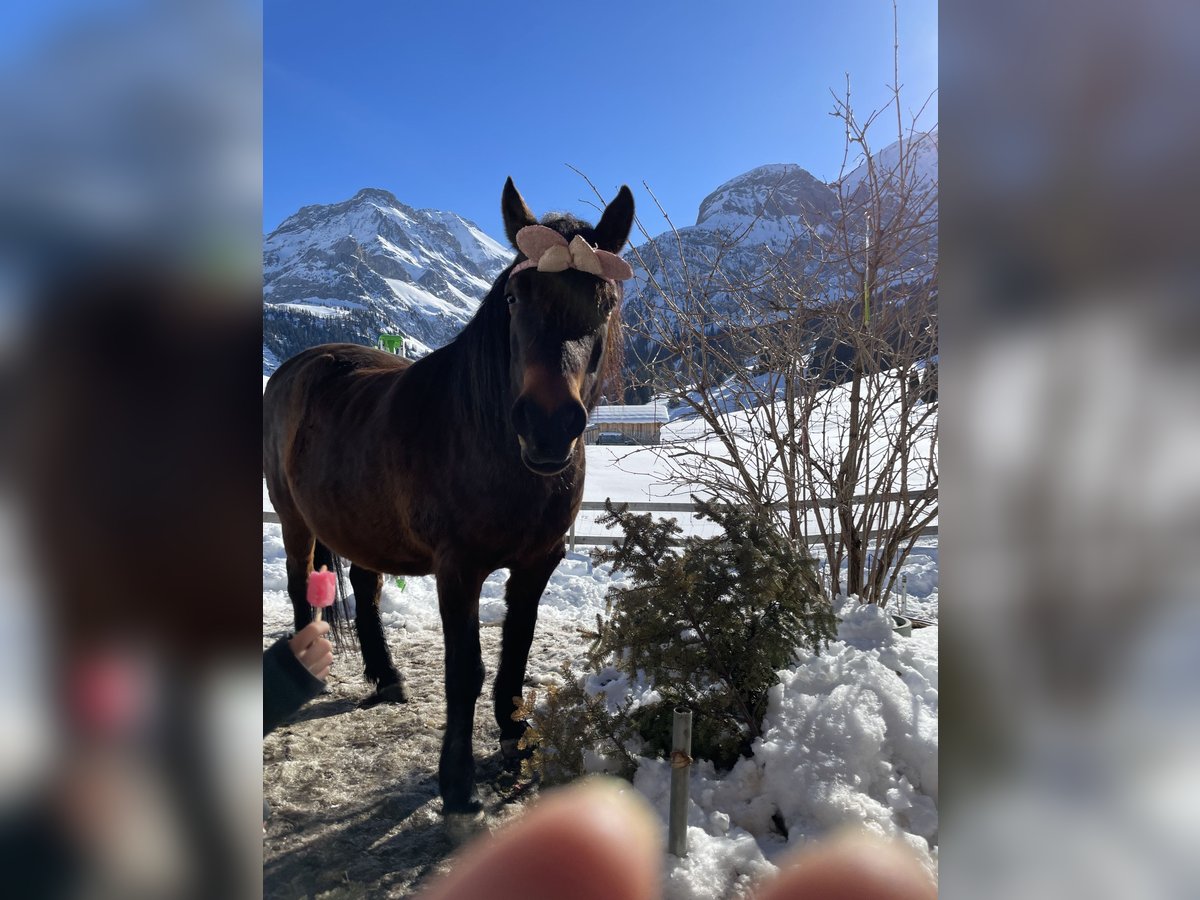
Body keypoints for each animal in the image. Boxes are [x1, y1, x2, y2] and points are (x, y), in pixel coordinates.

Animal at [264, 177, 638, 816]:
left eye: (607, 302)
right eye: (514, 297)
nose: (547, 426)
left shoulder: (538, 562)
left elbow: (517, 647)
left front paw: (515, 737)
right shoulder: (458, 569)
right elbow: (465, 669)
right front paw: (458, 784)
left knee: (365, 590)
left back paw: (386, 677)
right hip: (294, 520)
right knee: (299, 586)